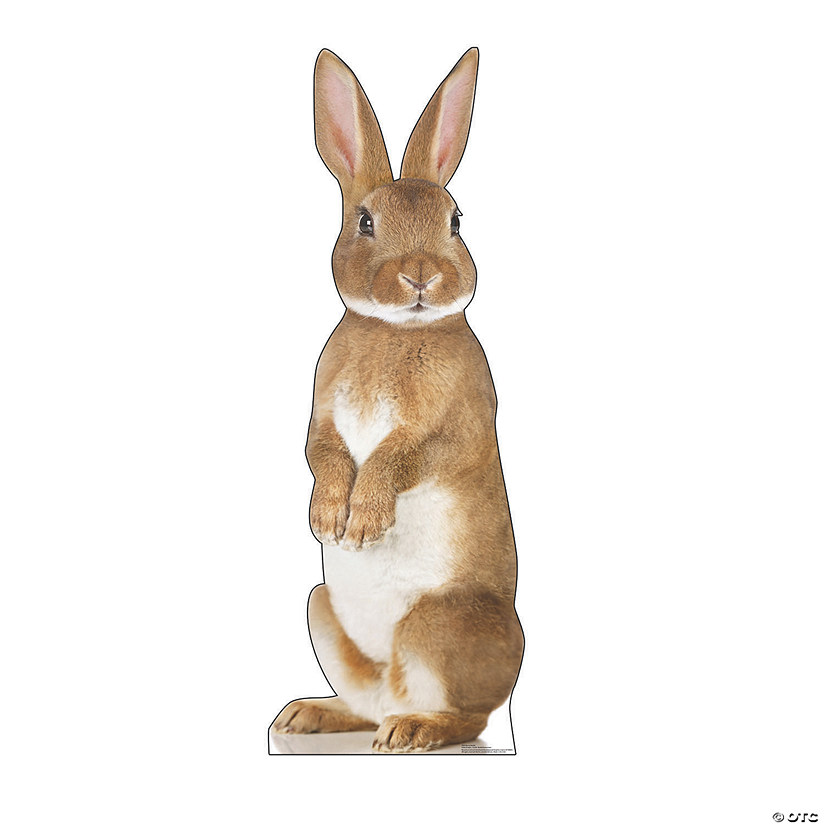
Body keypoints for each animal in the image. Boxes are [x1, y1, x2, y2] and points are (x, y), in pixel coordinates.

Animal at [270, 47, 524, 753]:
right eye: (365, 222)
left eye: (456, 222)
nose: (420, 275)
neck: (394, 329)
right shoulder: (321, 415)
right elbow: (323, 454)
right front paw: (329, 519)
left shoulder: (452, 425)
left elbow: (401, 457)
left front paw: (363, 525)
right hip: (320, 610)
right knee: (366, 702)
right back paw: (307, 715)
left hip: (436, 624)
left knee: (466, 716)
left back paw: (413, 730)